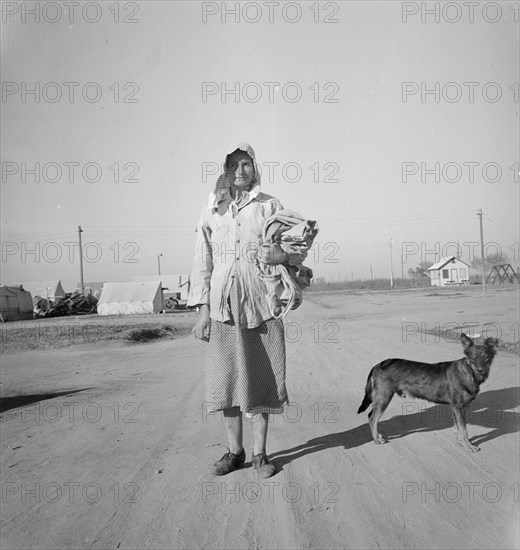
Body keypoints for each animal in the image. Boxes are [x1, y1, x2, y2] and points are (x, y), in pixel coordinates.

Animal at [358, 334, 500, 454]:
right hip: (384, 397)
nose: (480, 370)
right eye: (473, 358)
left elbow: (458, 427)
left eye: (486, 357)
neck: (469, 373)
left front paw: (461, 442)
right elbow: (464, 430)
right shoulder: (458, 406)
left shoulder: (457, 407)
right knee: (373, 418)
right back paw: (376, 439)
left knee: (371, 416)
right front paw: (468, 446)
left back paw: (377, 436)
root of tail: (378, 365)